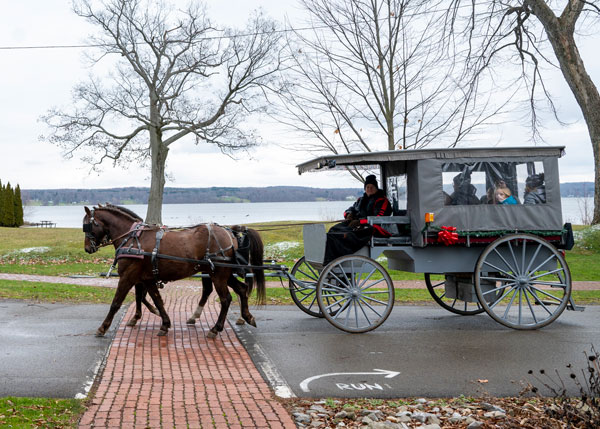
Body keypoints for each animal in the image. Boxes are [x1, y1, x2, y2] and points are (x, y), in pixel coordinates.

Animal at [82, 204, 264, 338]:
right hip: (223, 273)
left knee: (226, 299)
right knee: (242, 289)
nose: (87, 248)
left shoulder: (128, 276)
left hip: (218, 274)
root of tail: (229, 232)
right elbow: (157, 300)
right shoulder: (147, 278)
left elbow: (116, 303)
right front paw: (164, 323)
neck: (133, 239)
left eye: (87, 226)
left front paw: (103, 327)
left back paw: (215, 328)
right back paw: (247, 316)